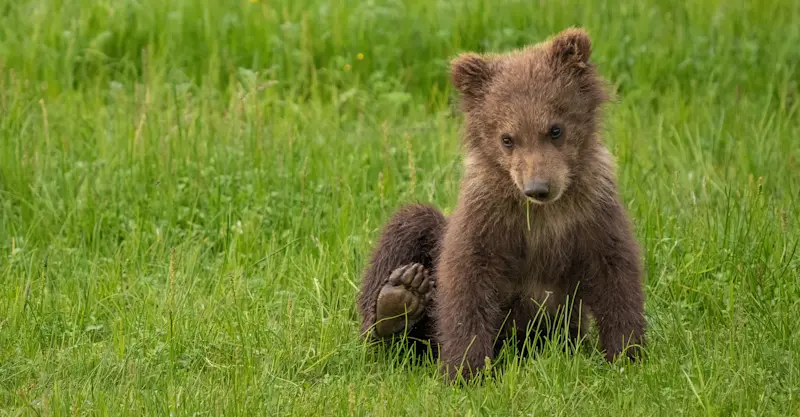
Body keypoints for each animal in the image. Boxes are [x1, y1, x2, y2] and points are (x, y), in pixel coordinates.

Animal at [356, 27, 647, 382]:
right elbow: (466, 278)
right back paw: (397, 301)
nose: (538, 188)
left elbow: (615, 271)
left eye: (555, 129)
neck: (541, 214)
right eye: (507, 138)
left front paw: (627, 352)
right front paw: (466, 368)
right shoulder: (486, 216)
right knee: (409, 224)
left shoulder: (591, 210)